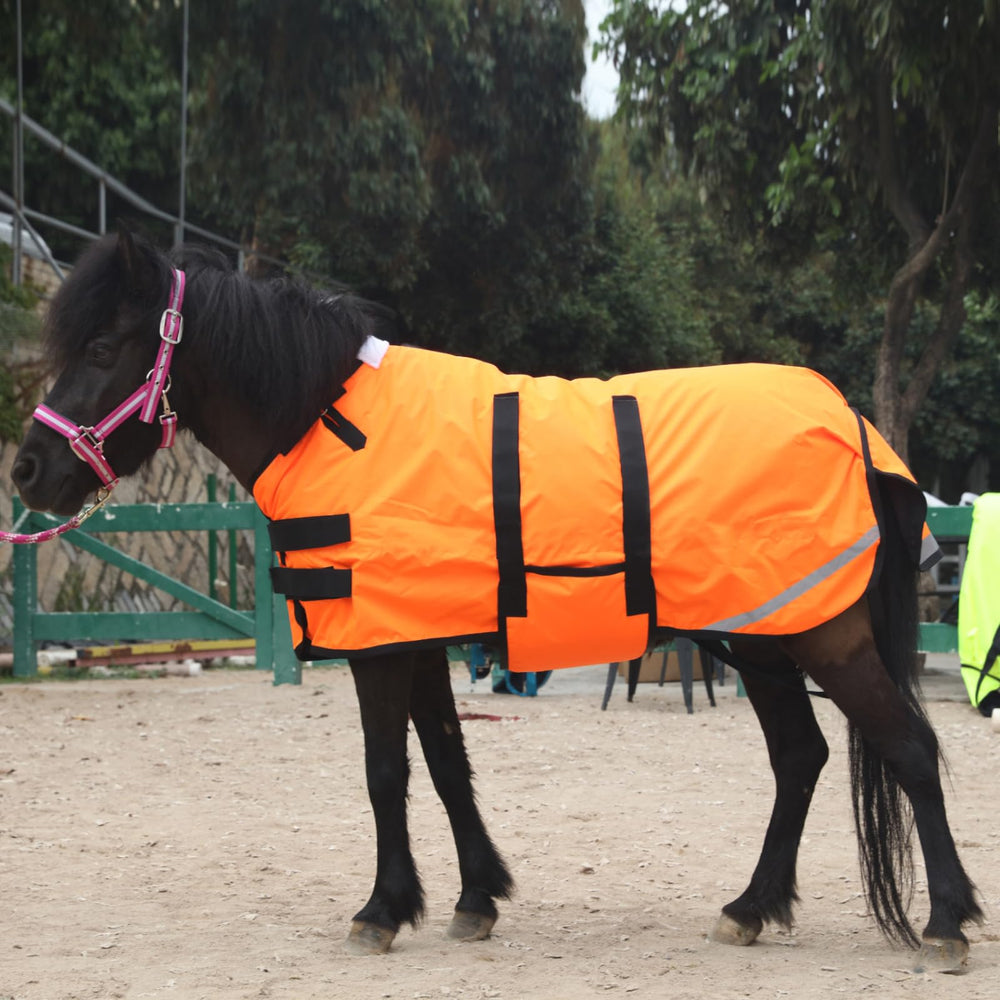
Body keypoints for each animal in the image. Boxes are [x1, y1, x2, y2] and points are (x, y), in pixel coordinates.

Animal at [11, 229, 982, 970]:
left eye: (102, 350)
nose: (26, 469)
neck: (327, 419)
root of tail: (855, 426)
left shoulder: (381, 646)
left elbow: (387, 771)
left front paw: (382, 909)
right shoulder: (420, 637)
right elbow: (447, 764)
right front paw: (475, 897)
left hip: (822, 640)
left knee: (908, 747)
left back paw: (945, 921)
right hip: (762, 640)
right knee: (801, 758)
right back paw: (751, 906)